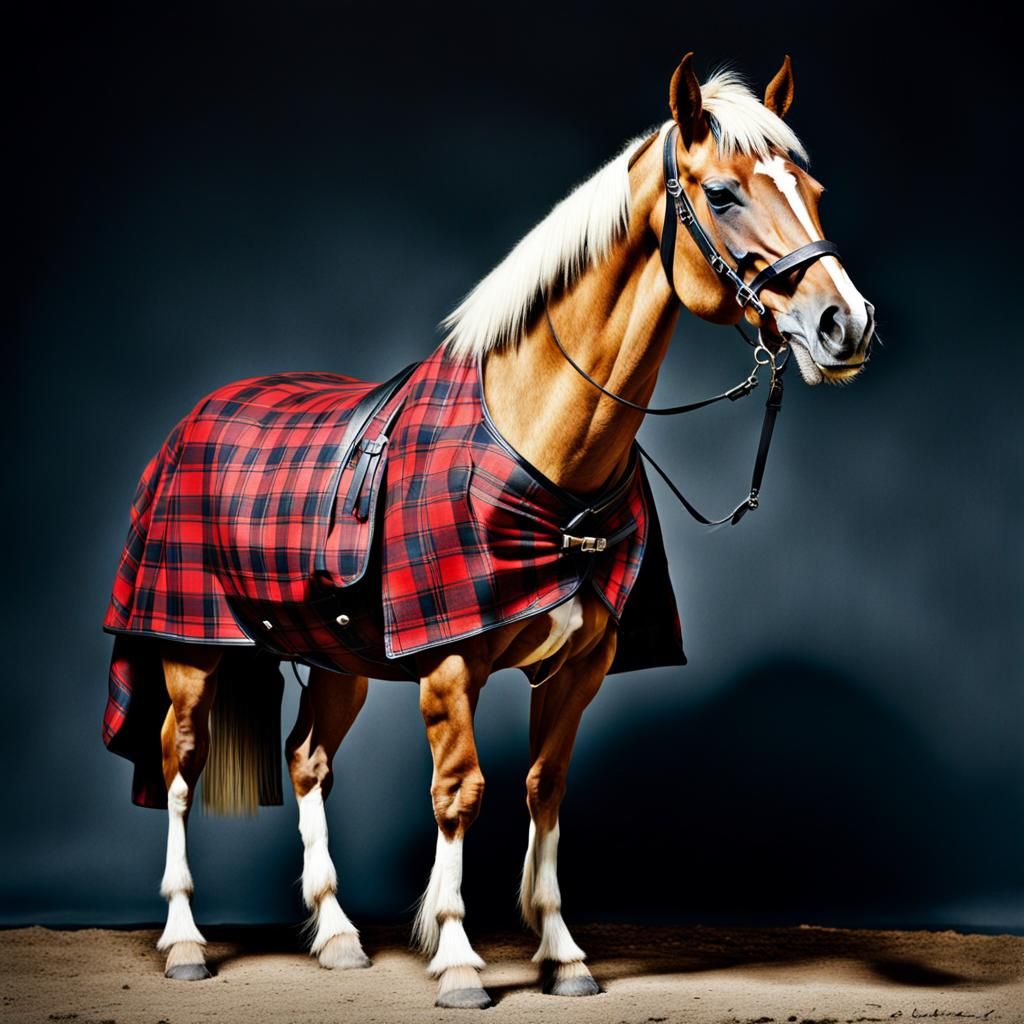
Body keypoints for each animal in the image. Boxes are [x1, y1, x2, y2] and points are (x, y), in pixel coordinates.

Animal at [102, 53, 874, 1009]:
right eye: (724, 194)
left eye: (812, 189)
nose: (846, 322)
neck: (544, 460)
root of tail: (202, 412)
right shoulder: (448, 667)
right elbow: (459, 793)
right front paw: (461, 955)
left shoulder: (579, 668)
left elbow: (545, 789)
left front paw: (561, 952)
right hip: (189, 653)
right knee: (178, 765)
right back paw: (184, 939)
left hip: (339, 659)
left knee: (308, 759)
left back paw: (339, 933)